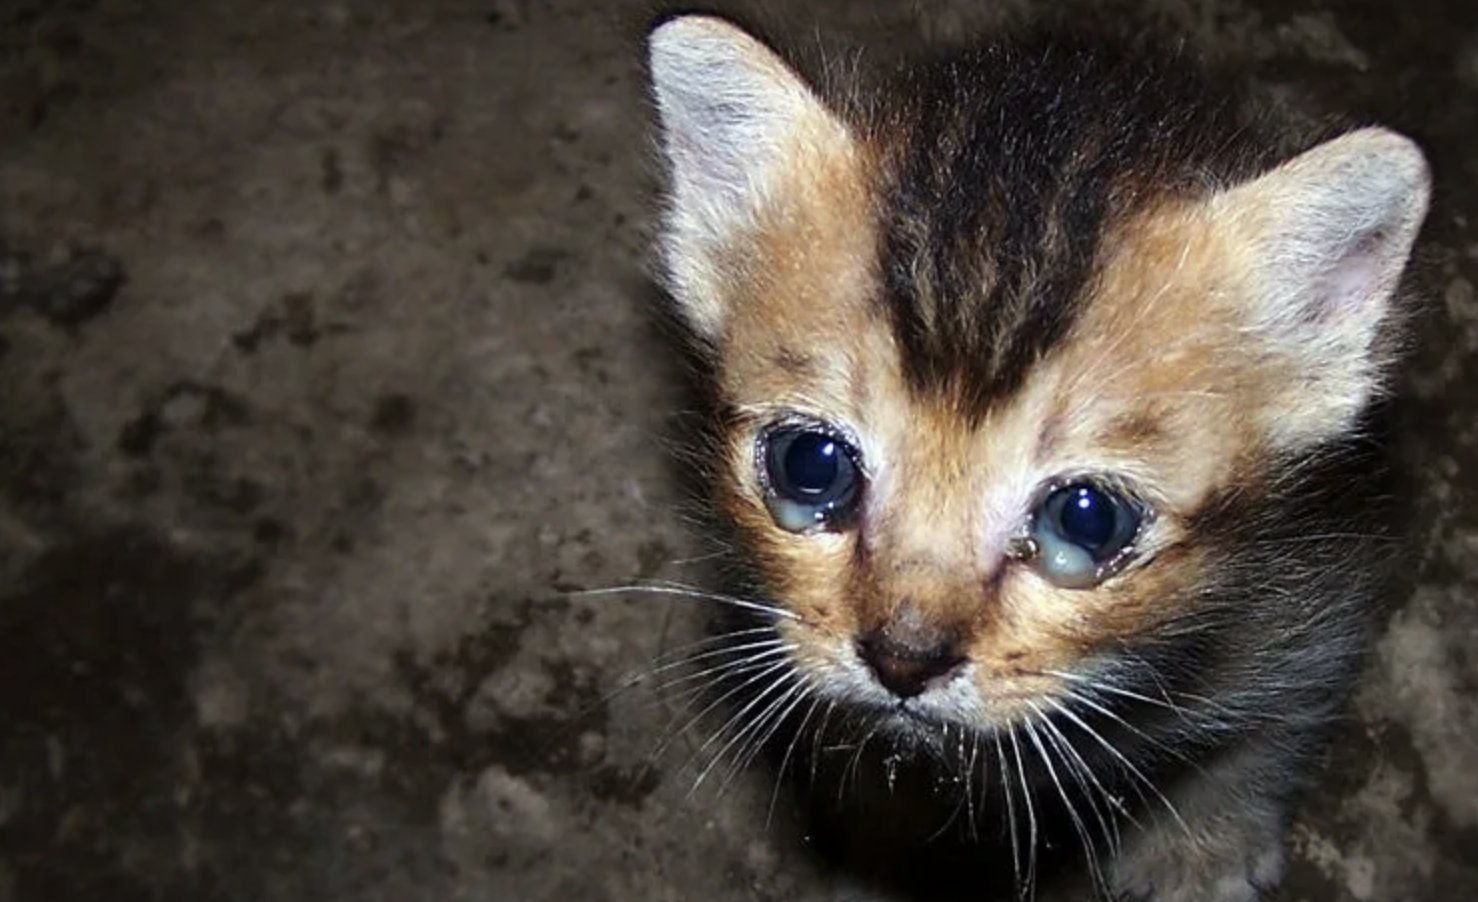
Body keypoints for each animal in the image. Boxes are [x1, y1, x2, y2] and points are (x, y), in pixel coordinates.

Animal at [641, 14, 1424, 899]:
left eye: (1086, 518)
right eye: (812, 464)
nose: (902, 660)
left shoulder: (1312, 604)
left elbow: (1263, 732)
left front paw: (1204, 849)